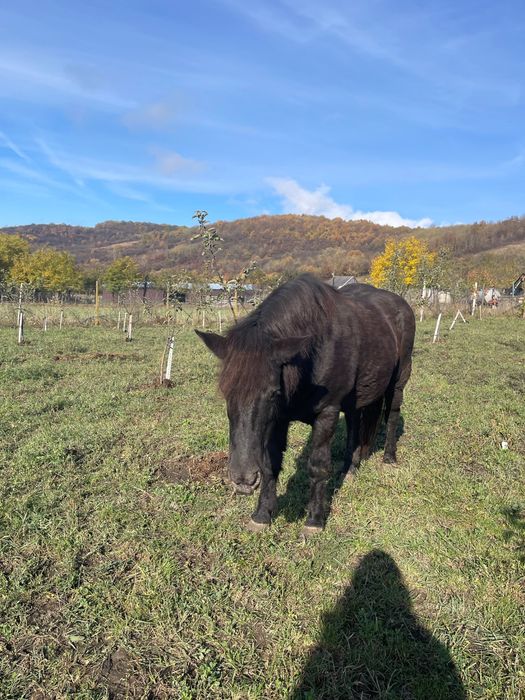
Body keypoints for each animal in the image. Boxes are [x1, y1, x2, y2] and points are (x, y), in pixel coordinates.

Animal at [196, 274, 415, 535]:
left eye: (273, 393)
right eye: (226, 392)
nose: (243, 480)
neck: (312, 356)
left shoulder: (327, 413)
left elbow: (318, 465)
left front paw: (314, 520)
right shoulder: (279, 418)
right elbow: (270, 463)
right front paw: (262, 514)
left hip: (398, 382)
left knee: (391, 415)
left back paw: (389, 458)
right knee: (355, 423)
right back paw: (350, 468)